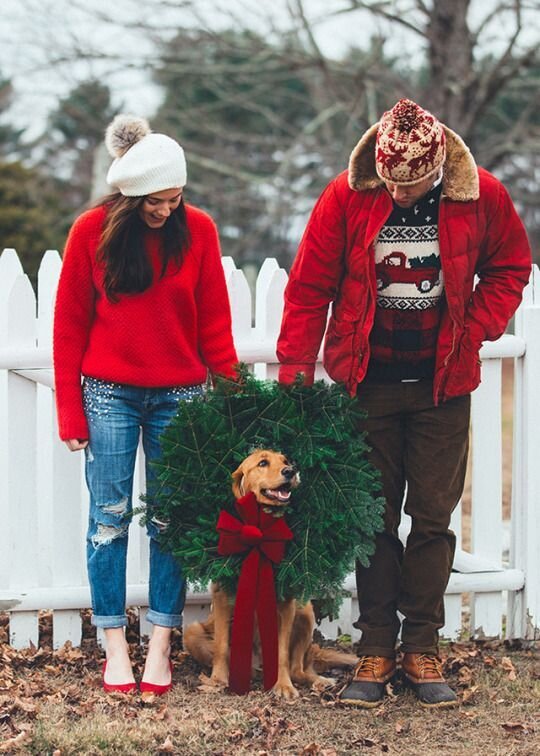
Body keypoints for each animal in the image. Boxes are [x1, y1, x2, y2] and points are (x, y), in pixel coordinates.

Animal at [182, 446, 358, 700]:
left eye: (285, 461)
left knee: (298, 669)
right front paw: (217, 680)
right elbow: (222, 645)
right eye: (262, 463)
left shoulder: (285, 603)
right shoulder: (223, 596)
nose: (290, 471)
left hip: (305, 611)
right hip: (192, 631)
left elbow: (281, 653)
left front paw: (282, 685)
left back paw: (318, 681)